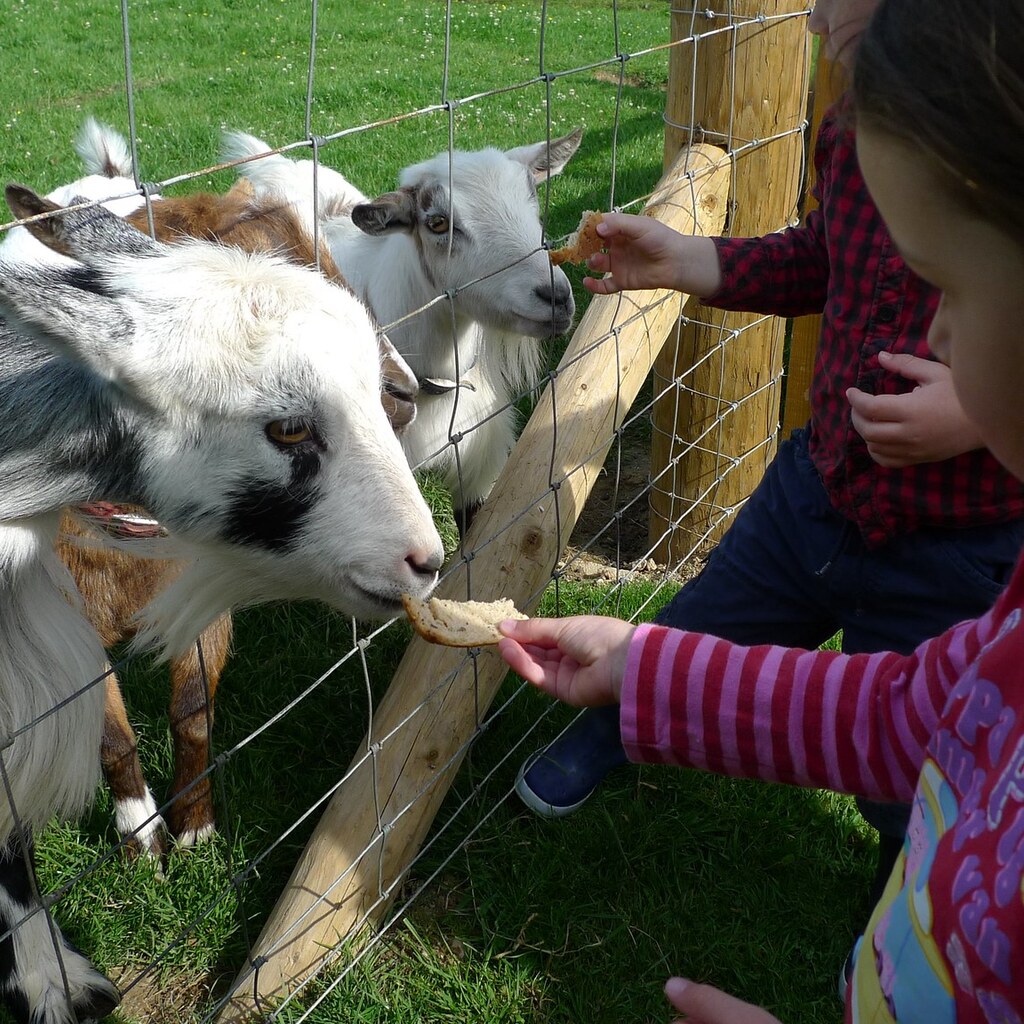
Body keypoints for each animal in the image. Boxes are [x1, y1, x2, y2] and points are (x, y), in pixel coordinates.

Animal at [0, 185, 443, 1024]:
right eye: (288, 424)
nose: (426, 562)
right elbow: (109, 743)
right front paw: (65, 959)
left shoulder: (201, 607)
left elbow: (193, 712)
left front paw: (197, 831)